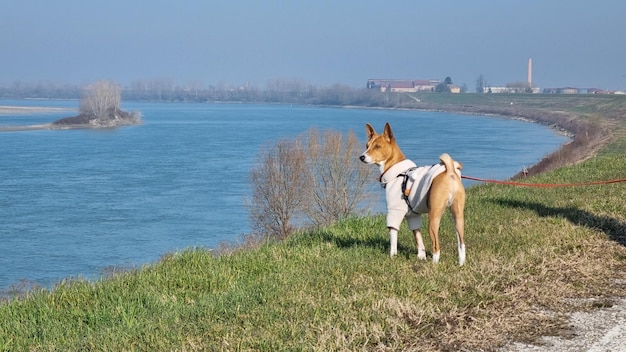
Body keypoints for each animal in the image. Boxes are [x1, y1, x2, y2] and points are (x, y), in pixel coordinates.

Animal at [358, 122, 466, 266]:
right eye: (367, 145)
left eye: (377, 146)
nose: (362, 157)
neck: (396, 172)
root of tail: (450, 172)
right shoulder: (413, 215)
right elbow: (418, 237)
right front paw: (421, 256)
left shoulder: (394, 211)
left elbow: (393, 240)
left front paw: (392, 257)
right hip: (458, 216)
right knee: (461, 243)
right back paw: (461, 263)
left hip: (434, 216)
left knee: (436, 246)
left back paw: (434, 264)